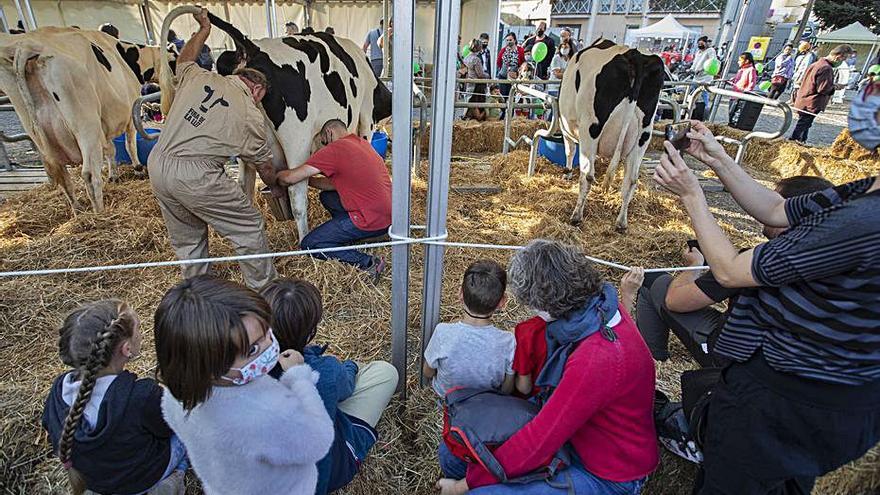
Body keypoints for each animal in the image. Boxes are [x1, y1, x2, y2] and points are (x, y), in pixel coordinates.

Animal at [159, 6, 392, 240]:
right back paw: (303, 240)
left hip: (247, 145)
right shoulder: (366, 119)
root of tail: (252, 47)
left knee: (245, 188)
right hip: (297, 141)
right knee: (297, 195)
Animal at [560, 38, 664, 232]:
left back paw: (576, 216)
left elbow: (569, 151)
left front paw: (567, 172)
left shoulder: (566, 128)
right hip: (643, 136)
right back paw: (621, 223)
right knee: (631, 180)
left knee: (588, 175)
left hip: (590, 128)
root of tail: (634, 56)